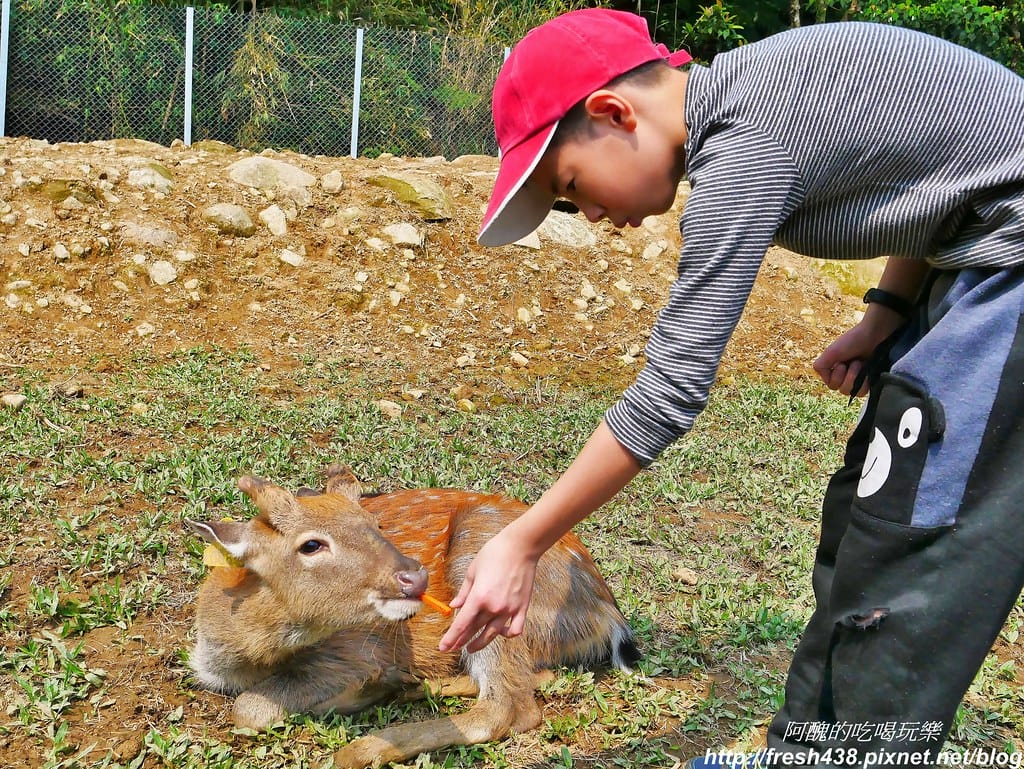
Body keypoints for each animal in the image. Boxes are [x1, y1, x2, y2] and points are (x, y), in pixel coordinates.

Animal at [185, 464, 639, 768]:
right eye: (311, 544)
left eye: (375, 524)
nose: (414, 575)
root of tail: (608, 614)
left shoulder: (357, 650)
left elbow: (247, 708)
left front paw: (361, 695)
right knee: (533, 681)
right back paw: (414, 688)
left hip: (488, 581)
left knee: (510, 708)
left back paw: (360, 748)